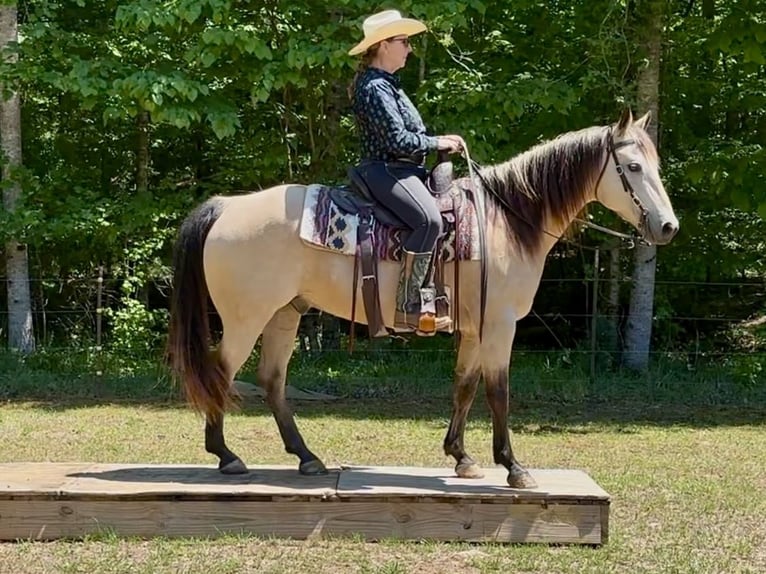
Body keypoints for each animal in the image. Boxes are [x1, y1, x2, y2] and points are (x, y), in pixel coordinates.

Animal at [167, 109, 678, 488]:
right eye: (633, 168)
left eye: (655, 166)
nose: (668, 227)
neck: (506, 219)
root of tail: (227, 206)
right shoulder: (500, 325)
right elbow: (498, 391)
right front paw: (514, 467)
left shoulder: (474, 328)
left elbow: (464, 386)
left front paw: (461, 457)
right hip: (246, 318)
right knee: (220, 372)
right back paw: (226, 456)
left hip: (283, 315)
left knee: (272, 381)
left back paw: (306, 457)